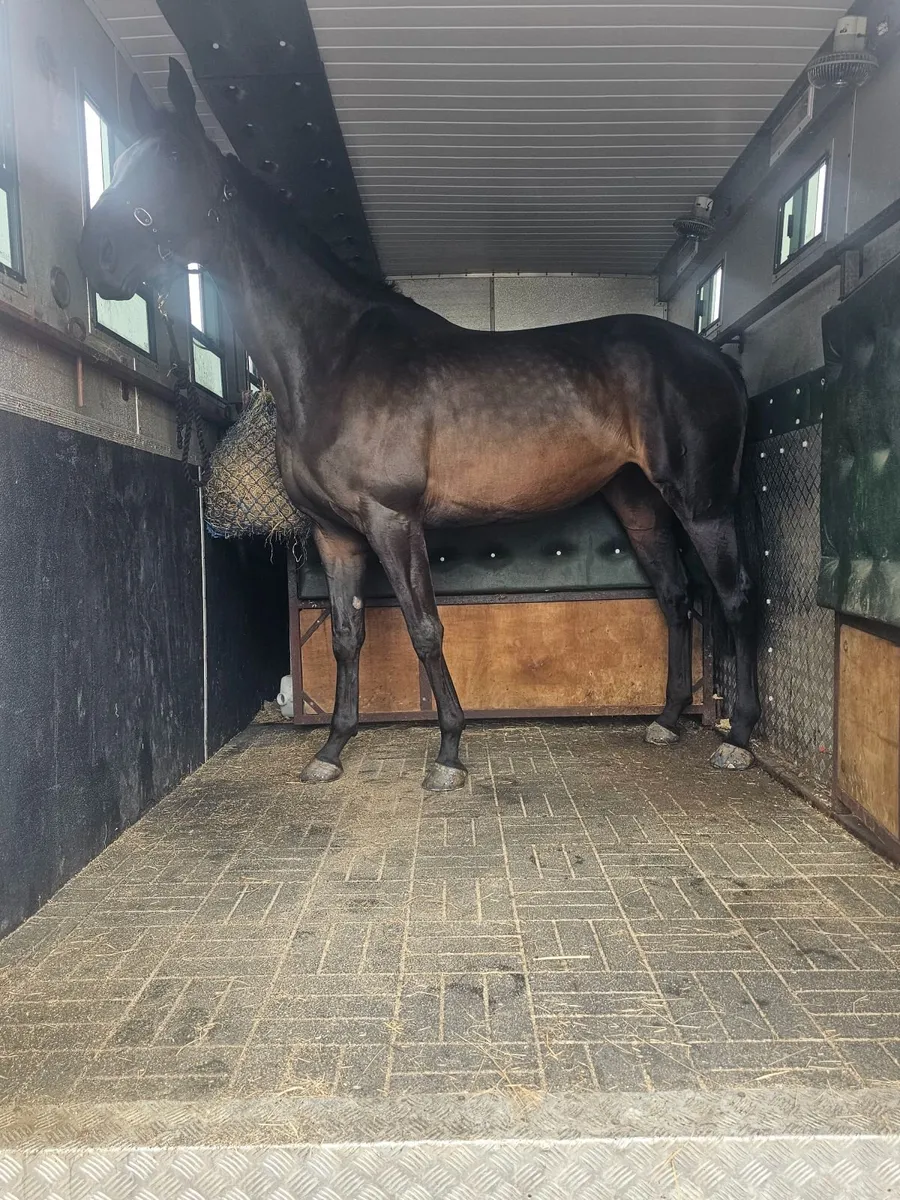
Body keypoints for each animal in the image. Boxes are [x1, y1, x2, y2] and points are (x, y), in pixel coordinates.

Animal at [78, 59, 760, 791]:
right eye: (123, 158)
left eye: (174, 159)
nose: (99, 253)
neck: (334, 359)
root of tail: (718, 357)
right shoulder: (335, 535)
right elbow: (346, 637)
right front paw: (332, 749)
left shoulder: (393, 520)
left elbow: (426, 628)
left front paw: (449, 753)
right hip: (638, 501)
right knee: (676, 597)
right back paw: (667, 719)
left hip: (702, 502)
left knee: (735, 598)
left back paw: (739, 737)